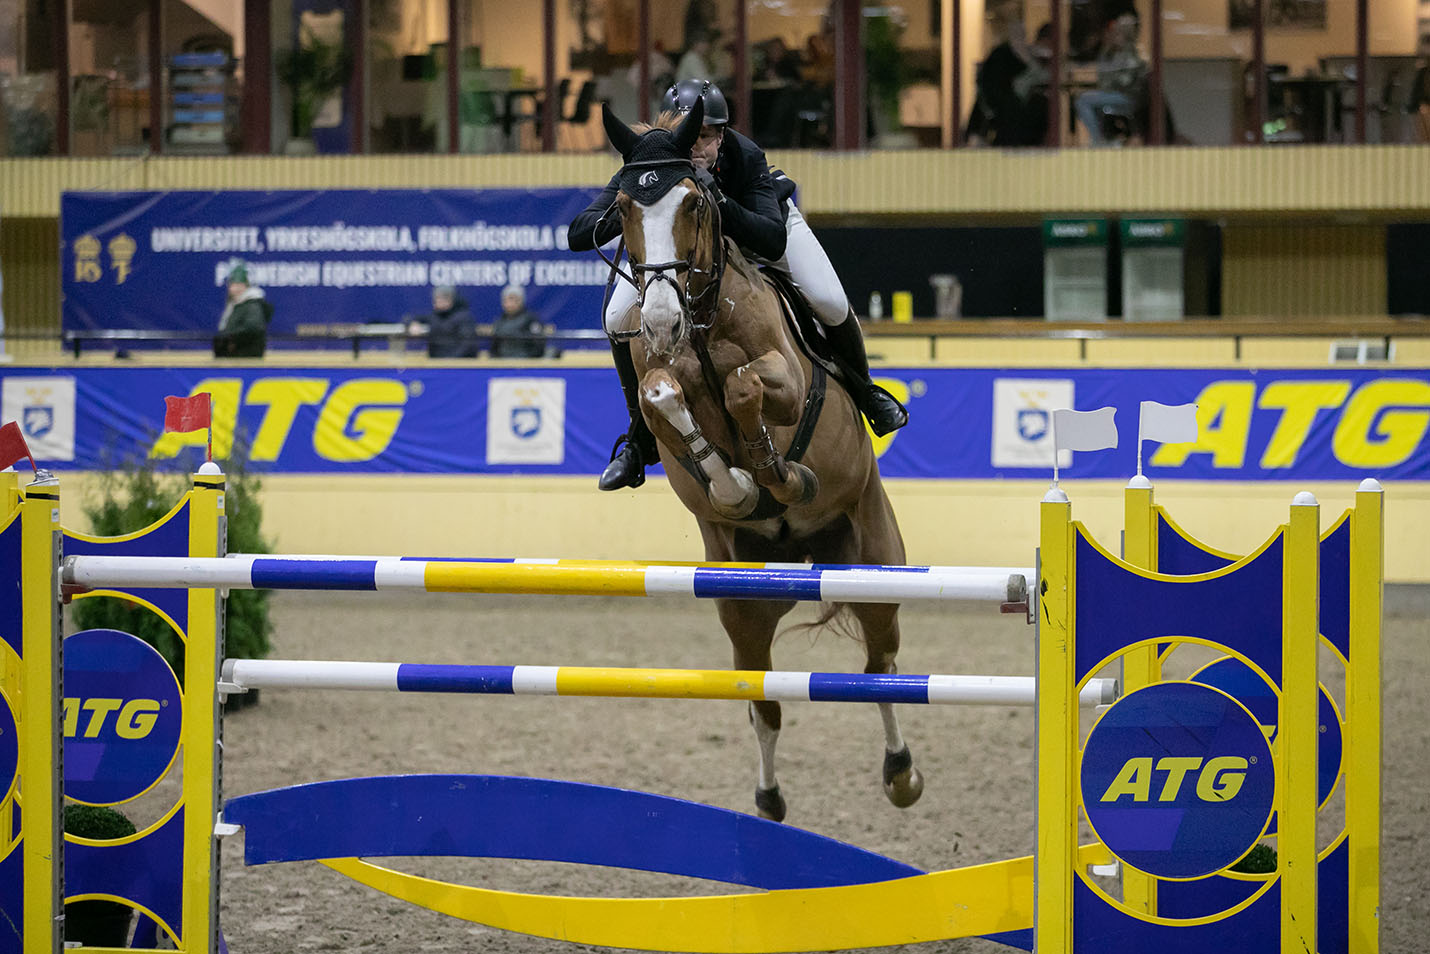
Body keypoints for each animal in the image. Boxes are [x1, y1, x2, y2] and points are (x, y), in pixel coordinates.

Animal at [593, 100, 921, 823]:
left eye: (693, 202)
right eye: (623, 207)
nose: (660, 320)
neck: (703, 317)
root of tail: (806, 558)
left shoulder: (786, 380)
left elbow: (746, 387)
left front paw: (776, 474)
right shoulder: (660, 381)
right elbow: (663, 397)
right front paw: (736, 487)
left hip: (874, 561)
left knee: (881, 668)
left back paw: (901, 774)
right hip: (742, 603)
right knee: (762, 697)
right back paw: (768, 800)